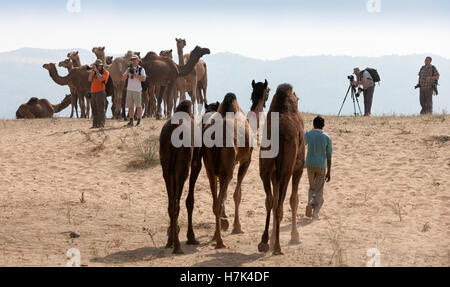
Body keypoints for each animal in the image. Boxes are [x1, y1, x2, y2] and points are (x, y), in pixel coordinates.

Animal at [203, 93, 255, 249]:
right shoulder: (246, 160)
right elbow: (237, 194)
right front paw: (237, 227)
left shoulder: (219, 170)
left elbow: (225, 195)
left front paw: (225, 223)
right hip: (228, 169)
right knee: (219, 202)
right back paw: (220, 241)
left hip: (210, 170)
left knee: (215, 203)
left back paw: (216, 235)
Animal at [256, 83, 306, 256]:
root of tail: (279, 134)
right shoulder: (298, 167)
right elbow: (294, 200)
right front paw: (295, 237)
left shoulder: (273, 174)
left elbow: (276, 199)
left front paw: (270, 240)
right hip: (286, 170)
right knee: (279, 205)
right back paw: (277, 247)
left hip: (265, 168)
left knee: (270, 200)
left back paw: (264, 242)